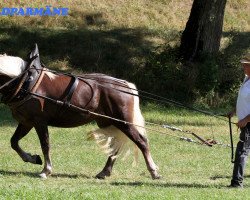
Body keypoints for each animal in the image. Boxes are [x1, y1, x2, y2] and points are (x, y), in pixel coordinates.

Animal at [0, 45, 160, 180]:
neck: (26, 81)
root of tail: (126, 85)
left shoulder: (39, 121)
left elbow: (45, 144)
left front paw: (46, 170)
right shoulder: (26, 122)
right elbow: (14, 142)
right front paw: (32, 158)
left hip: (123, 122)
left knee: (141, 142)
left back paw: (153, 171)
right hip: (109, 122)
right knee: (116, 145)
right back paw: (104, 172)